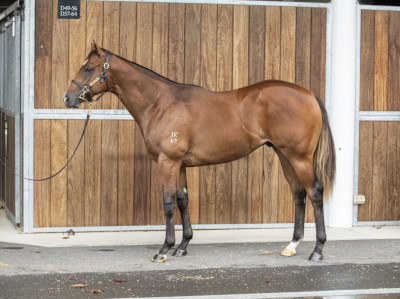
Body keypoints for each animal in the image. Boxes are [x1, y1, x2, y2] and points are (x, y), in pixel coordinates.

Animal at [65, 41, 334, 262]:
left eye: (89, 69)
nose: (68, 98)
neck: (161, 103)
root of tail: (309, 94)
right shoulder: (181, 164)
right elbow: (183, 200)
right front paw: (183, 245)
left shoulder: (168, 162)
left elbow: (168, 202)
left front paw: (164, 249)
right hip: (284, 155)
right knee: (298, 194)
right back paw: (292, 245)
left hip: (299, 157)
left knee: (314, 192)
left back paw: (318, 250)